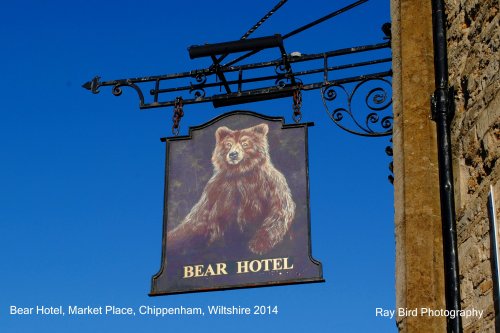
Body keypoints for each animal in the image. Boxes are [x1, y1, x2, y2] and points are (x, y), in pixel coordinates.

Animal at [166, 123, 294, 255]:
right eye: (228, 144)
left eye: (245, 143)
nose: (233, 154)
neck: (240, 172)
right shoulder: (217, 188)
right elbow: (199, 220)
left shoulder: (270, 184)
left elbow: (279, 211)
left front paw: (258, 245)